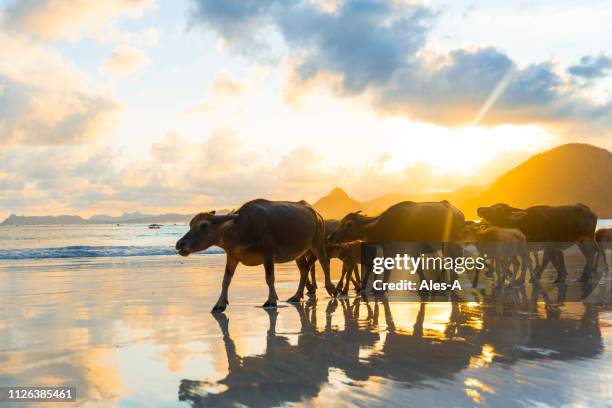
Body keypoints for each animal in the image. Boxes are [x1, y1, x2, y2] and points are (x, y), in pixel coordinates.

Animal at [175, 199, 338, 310]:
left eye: (204, 225)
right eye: (190, 224)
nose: (180, 244)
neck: (241, 229)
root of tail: (316, 214)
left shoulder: (269, 255)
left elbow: (270, 278)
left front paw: (271, 300)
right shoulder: (232, 257)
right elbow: (226, 280)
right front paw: (220, 304)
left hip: (317, 243)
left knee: (324, 263)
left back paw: (331, 289)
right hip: (299, 253)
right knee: (304, 270)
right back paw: (296, 296)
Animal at [330, 201, 464, 290]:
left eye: (349, 224)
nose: (330, 236)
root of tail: (458, 212)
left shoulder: (414, 251)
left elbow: (419, 269)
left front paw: (424, 287)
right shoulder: (388, 251)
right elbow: (387, 269)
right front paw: (381, 288)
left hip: (453, 244)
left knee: (455, 261)